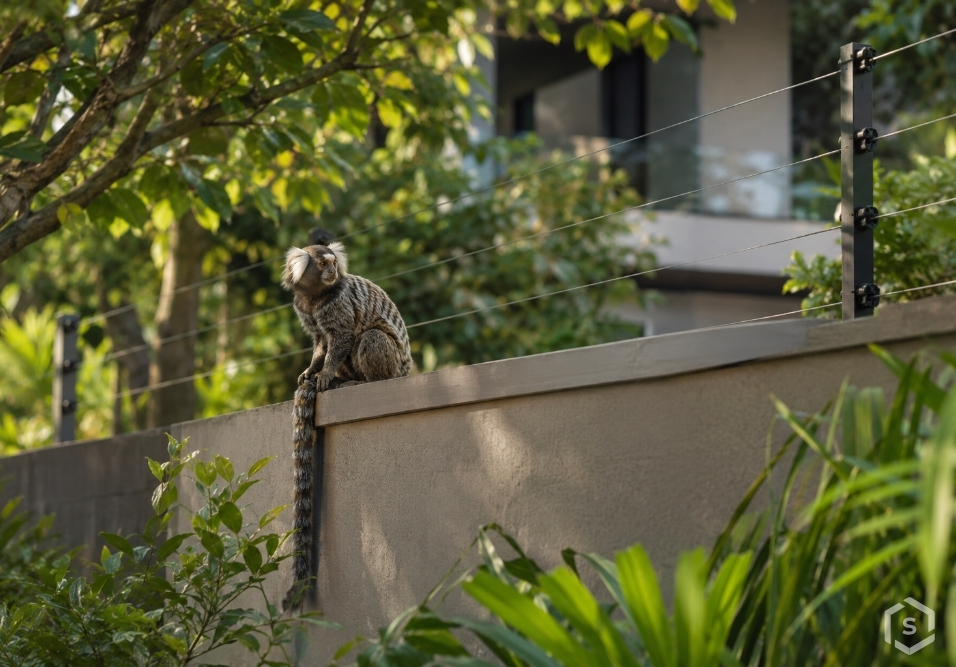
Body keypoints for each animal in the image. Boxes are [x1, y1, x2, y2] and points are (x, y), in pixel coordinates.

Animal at [280, 241, 412, 609]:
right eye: (323, 264)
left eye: (334, 264)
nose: (333, 272)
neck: (316, 297)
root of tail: (408, 371)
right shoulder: (305, 311)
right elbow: (321, 344)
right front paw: (311, 372)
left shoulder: (338, 307)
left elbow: (339, 338)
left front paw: (324, 375)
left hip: (392, 364)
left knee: (368, 337)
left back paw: (360, 382)